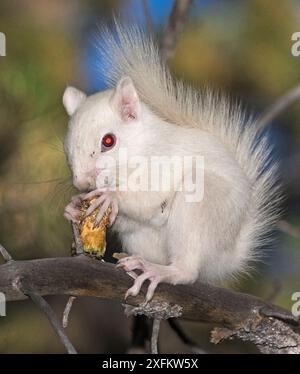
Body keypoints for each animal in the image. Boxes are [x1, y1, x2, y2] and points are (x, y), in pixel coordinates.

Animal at [62, 24, 280, 300]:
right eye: (66, 147)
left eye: (108, 141)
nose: (81, 183)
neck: (142, 147)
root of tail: (225, 257)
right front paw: (72, 207)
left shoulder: (164, 163)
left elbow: (150, 196)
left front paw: (111, 196)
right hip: (141, 238)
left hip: (200, 205)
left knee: (187, 270)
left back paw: (159, 271)